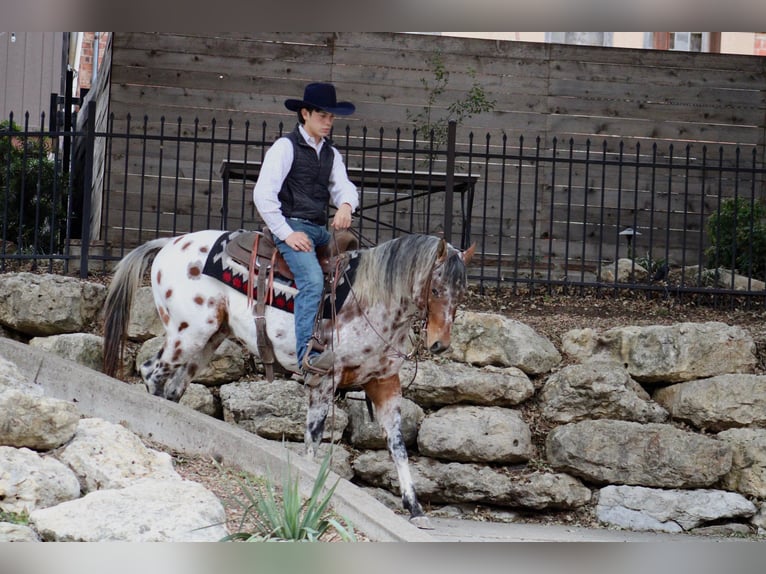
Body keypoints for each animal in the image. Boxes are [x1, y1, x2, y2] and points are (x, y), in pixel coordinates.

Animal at [102, 231, 474, 528]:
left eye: (461, 292)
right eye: (436, 288)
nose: (440, 344)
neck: (374, 300)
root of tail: (170, 243)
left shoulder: (384, 383)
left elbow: (397, 446)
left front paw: (414, 508)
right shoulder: (325, 378)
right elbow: (314, 439)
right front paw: (311, 487)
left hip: (208, 341)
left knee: (173, 388)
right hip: (187, 335)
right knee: (152, 373)